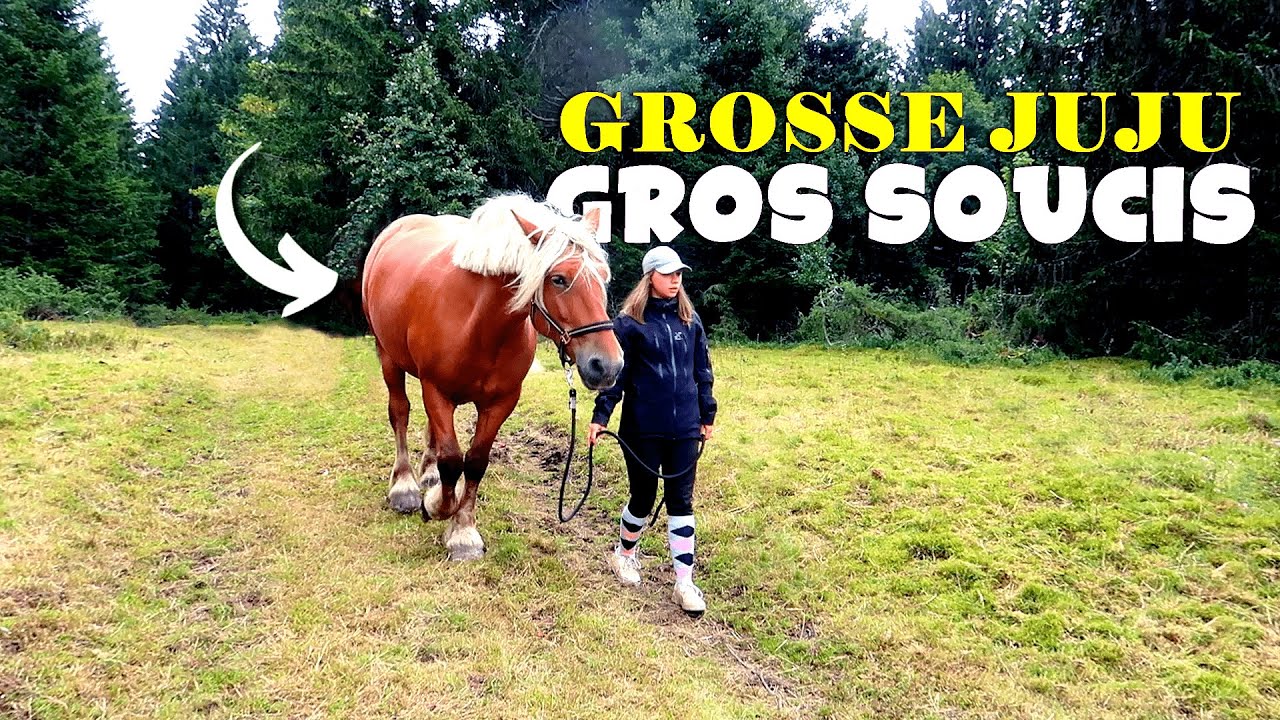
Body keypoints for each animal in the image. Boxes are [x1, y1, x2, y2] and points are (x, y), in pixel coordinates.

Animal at [361, 195, 624, 561]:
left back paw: (427, 475)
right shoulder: (436, 390)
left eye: (602, 276)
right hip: (388, 356)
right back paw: (405, 487)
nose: (608, 365)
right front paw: (437, 507)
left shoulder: (501, 402)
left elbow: (475, 462)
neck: (479, 323)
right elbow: (452, 460)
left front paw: (463, 530)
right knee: (400, 412)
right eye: (558, 278)